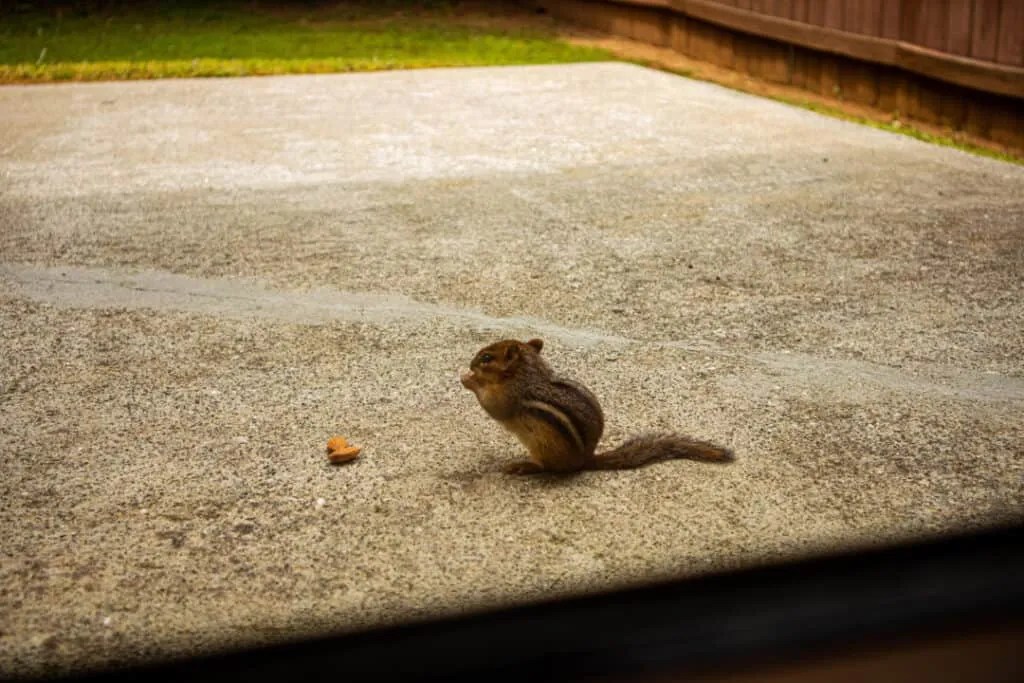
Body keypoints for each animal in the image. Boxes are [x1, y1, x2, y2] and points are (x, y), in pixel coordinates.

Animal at [460, 338, 733, 474]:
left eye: (486, 358)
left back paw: (524, 466)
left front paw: (469, 379)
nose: (471, 363)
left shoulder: (509, 397)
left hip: (543, 447)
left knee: (549, 469)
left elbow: (494, 407)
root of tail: (586, 460)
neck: (528, 373)